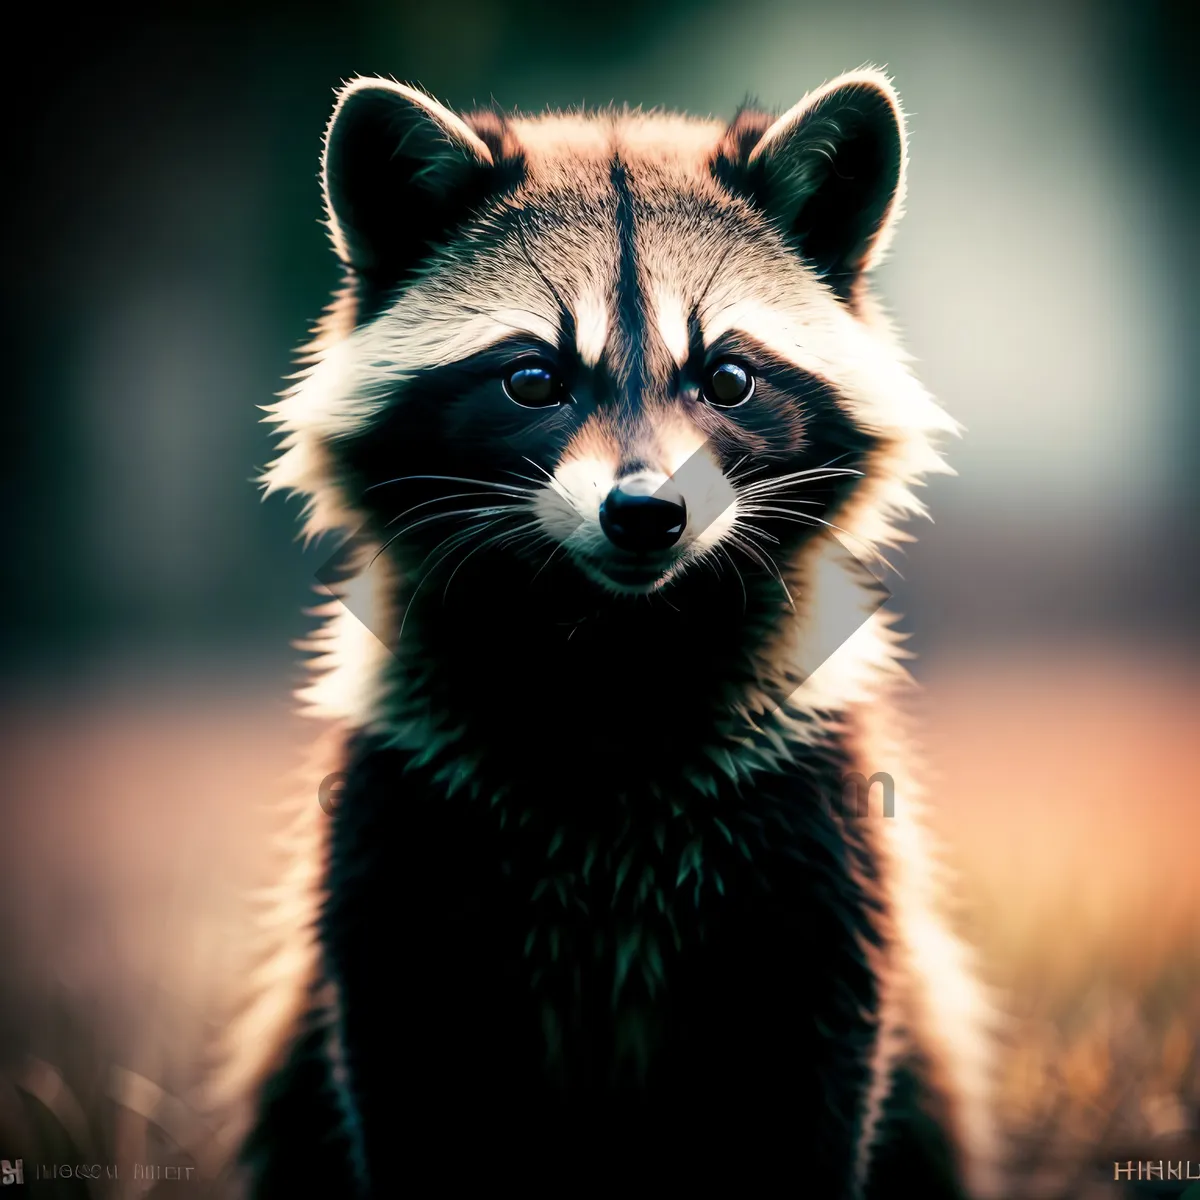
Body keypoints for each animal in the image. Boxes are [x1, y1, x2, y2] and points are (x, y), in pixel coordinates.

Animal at [213, 68, 1003, 1200]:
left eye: (727, 378)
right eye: (534, 378)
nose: (646, 514)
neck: (613, 648)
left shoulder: (819, 848)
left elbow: (814, 1083)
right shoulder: (398, 853)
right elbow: (408, 1081)